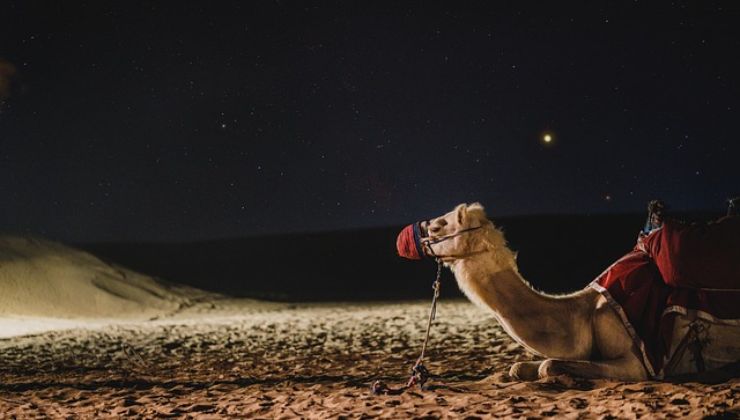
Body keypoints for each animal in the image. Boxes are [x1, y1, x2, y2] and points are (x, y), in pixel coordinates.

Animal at [416, 203, 740, 380]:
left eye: (440, 226)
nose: (420, 230)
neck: (581, 314)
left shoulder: (639, 362)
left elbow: (548, 365)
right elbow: (518, 368)